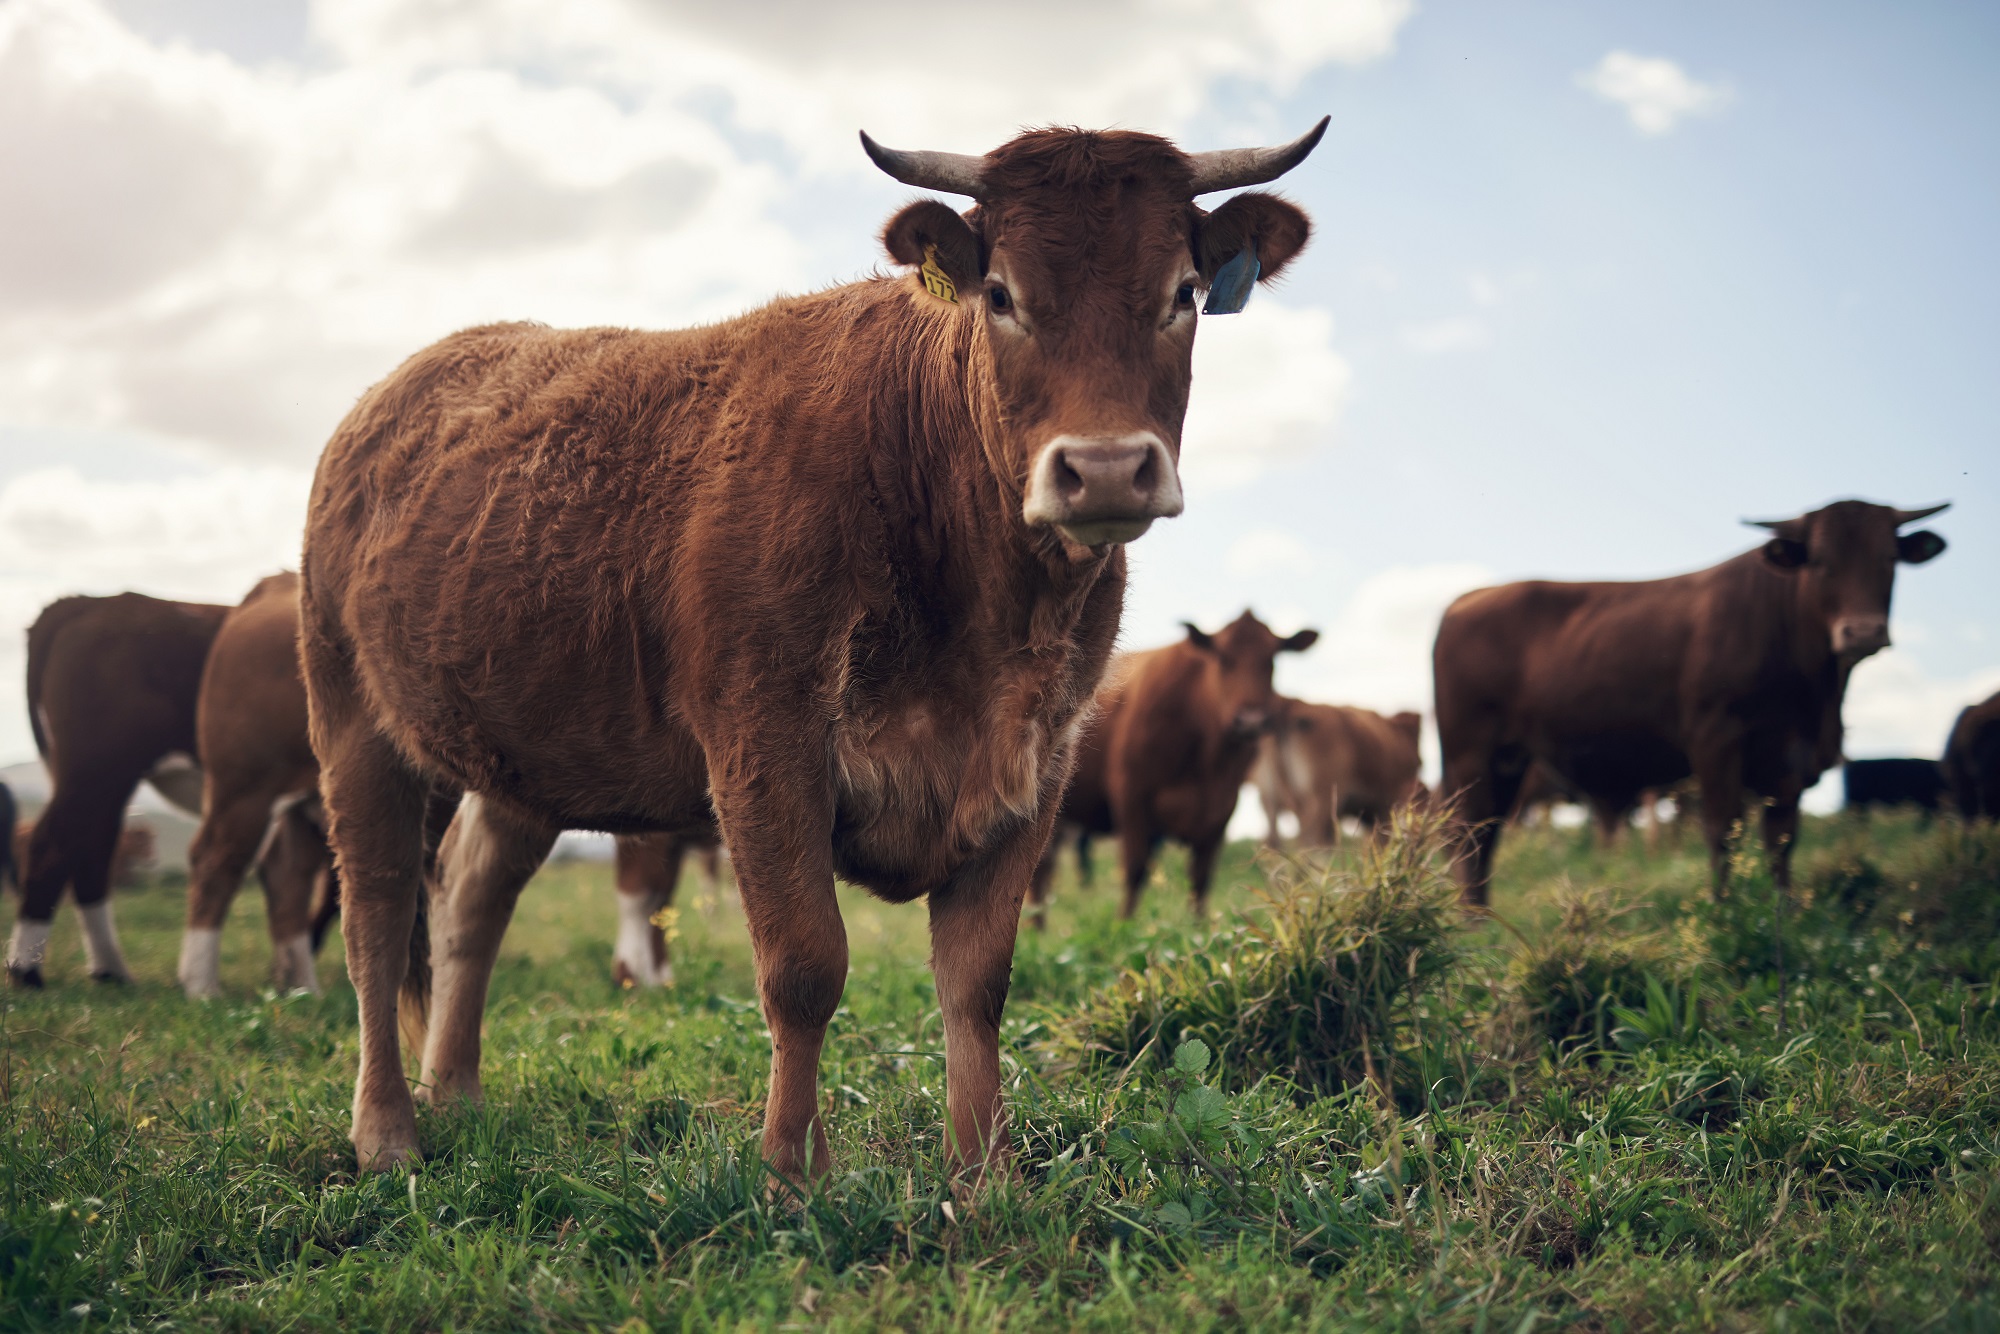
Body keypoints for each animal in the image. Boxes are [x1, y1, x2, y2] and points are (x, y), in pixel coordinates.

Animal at [1033, 612, 1318, 920]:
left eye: (1271, 660)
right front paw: (1125, 923)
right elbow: (1135, 870)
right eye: (1223, 659)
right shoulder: (1131, 798)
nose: (1251, 720)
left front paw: (1200, 925)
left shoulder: (1221, 810)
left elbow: (1201, 878)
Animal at [1254, 701, 1422, 847]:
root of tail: (1291, 706)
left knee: (1273, 841)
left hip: (1269, 799)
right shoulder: (1387, 804)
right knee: (1311, 839)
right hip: (1321, 798)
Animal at [1434, 499, 1949, 905]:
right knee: (1469, 835)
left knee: (1487, 835)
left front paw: (1784, 911)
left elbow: (1781, 837)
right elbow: (1723, 829)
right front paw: (1725, 911)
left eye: (1889, 558)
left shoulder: (1789, 758)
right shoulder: (1715, 740)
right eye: (1819, 561)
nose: (1862, 631)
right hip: (1471, 755)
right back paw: (1474, 924)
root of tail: (1468, 600)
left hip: (1508, 761)